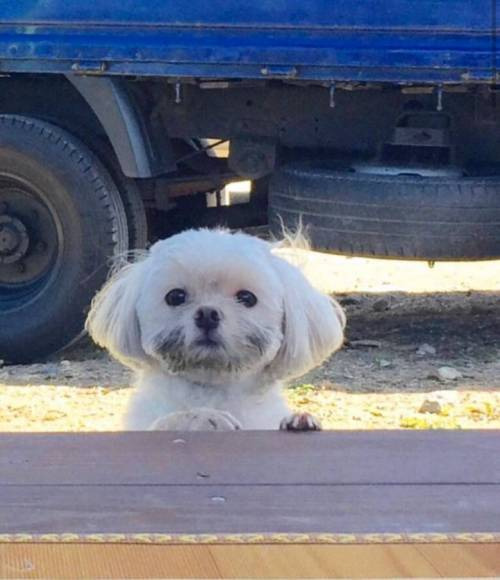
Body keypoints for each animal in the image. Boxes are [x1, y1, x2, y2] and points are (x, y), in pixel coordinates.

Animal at [86, 228, 344, 430]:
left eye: (247, 298)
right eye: (175, 296)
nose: (207, 314)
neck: (213, 389)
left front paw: (299, 419)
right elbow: (172, 419)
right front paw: (203, 417)